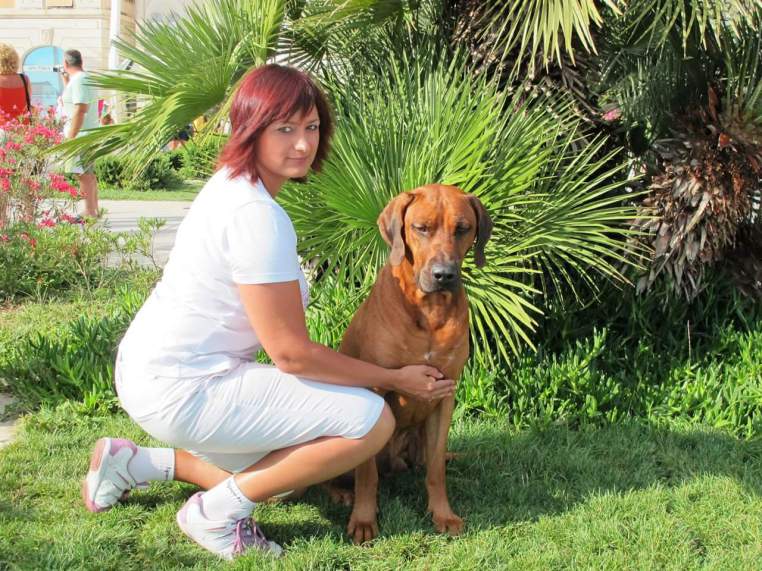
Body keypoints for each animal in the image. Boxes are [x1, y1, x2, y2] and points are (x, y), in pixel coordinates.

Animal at [338, 183, 492, 543]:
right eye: (421, 228)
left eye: (462, 228)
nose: (444, 275)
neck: (430, 311)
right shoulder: (375, 389)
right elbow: (366, 475)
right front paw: (364, 519)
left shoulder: (444, 394)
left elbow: (436, 468)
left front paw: (443, 514)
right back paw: (343, 494)